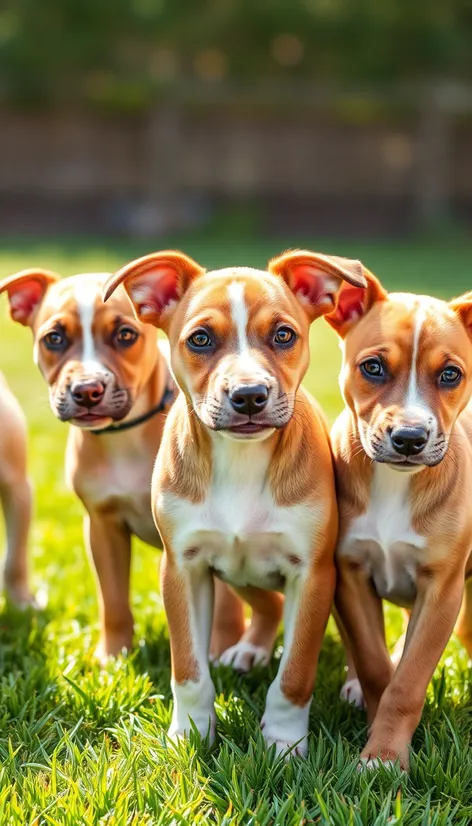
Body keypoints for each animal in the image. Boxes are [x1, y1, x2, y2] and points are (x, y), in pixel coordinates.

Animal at [0, 268, 242, 660]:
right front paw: (113, 656)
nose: (87, 390)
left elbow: (228, 601)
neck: (124, 436)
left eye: (125, 335)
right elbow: (112, 599)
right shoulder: (103, 526)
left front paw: (224, 652)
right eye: (54, 338)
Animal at [104, 246, 368, 752]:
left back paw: (357, 685)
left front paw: (284, 743)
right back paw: (248, 650)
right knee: (267, 607)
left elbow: (295, 673)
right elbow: (188, 670)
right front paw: (190, 733)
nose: (249, 395)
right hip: (237, 574)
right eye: (201, 339)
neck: (240, 460)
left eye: (284, 334)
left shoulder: (313, 574)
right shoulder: (182, 568)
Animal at [328, 268, 472, 768]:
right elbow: (374, 664)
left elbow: (408, 682)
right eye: (373, 367)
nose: (409, 438)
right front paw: (376, 733)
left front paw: (386, 755)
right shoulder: (351, 575)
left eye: (450, 374)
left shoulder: (443, 591)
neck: (395, 483)